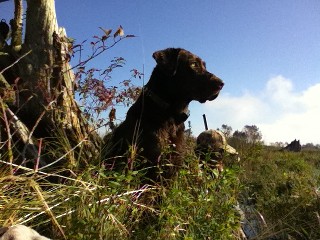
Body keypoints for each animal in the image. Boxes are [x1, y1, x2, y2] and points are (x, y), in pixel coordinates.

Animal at [104, 47, 224, 181]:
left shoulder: (176, 159)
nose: (221, 83)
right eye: (193, 64)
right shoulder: (155, 163)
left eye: (204, 65)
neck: (170, 114)